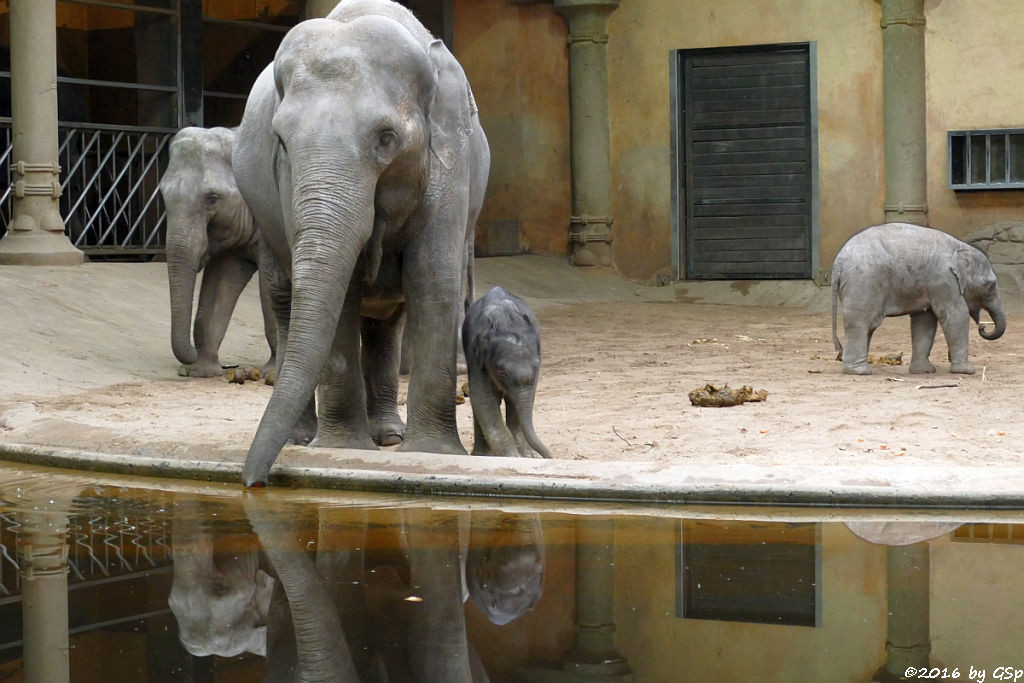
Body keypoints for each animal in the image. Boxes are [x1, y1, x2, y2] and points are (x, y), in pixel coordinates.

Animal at [157, 126, 276, 378]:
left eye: (212, 199)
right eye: (163, 196)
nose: (189, 356)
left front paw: (271, 375)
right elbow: (219, 284)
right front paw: (199, 372)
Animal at [234, 0, 489, 485]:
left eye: (386, 139)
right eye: (281, 142)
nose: (251, 481)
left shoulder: (451, 159)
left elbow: (432, 278)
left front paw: (429, 454)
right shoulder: (286, 183)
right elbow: (343, 291)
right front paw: (341, 447)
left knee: (387, 321)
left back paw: (388, 435)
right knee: (285, 298)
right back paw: (305, 438)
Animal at [464, 286, 552, 456]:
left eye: (537, 366)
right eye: (501, 372)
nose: (549, 457)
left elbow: (522, 400)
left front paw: (527, 456)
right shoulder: (475, 356)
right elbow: (483, 398)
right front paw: (512, 456)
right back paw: (481, 454)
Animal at [827, 223, 1003, 374]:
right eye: (990, 286)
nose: (983, 327)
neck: (960, 247)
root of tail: (838, 263)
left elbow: (924, 321)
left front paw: (924, 371)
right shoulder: (944, 280)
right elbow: (956, 315)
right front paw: (967, 371)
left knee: (867, 326)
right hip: (863, 282)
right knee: (860, 323)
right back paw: (860, 371)